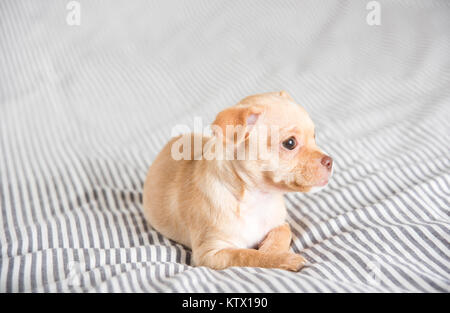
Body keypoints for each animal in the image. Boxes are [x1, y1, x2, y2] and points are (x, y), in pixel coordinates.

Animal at [142, 91, 332, 270]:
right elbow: (246, 255)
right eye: (290, 143)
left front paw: (270, 250)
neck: (257, 199)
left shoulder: (281, 224)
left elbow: (283, 234)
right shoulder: (211, 254)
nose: (330, 161)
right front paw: (279, 258)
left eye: (314, 137)